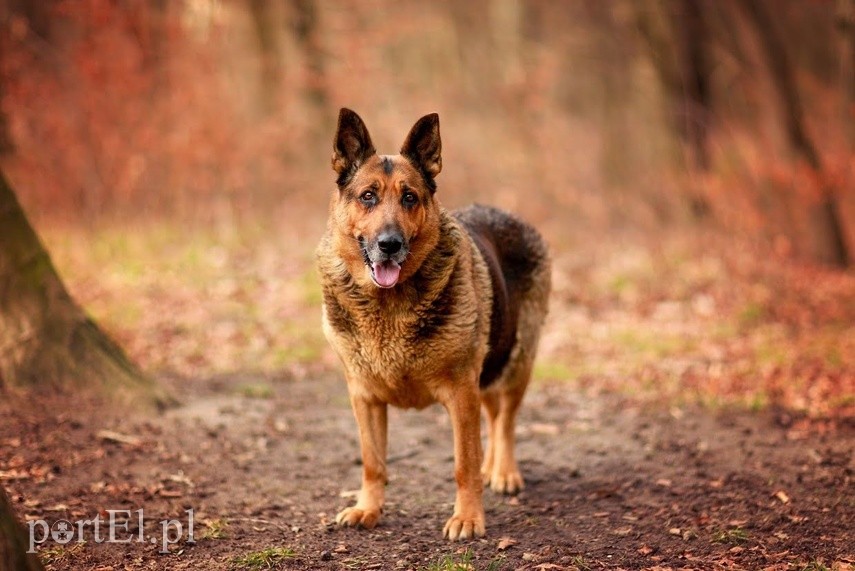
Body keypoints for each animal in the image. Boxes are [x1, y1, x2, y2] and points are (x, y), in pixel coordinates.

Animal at [318, 108, 552, 540]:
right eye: (368, 196)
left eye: (410, 197)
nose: (389, 244)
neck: (387, 307)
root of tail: (509, 213)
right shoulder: (364, 397)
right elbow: (373, 462)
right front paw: (368, 509)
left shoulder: (461, 393)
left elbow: (463, 464)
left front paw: (468, 518)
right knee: (493, 414)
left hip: (517, 361)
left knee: (506, 420)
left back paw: (504, 471)